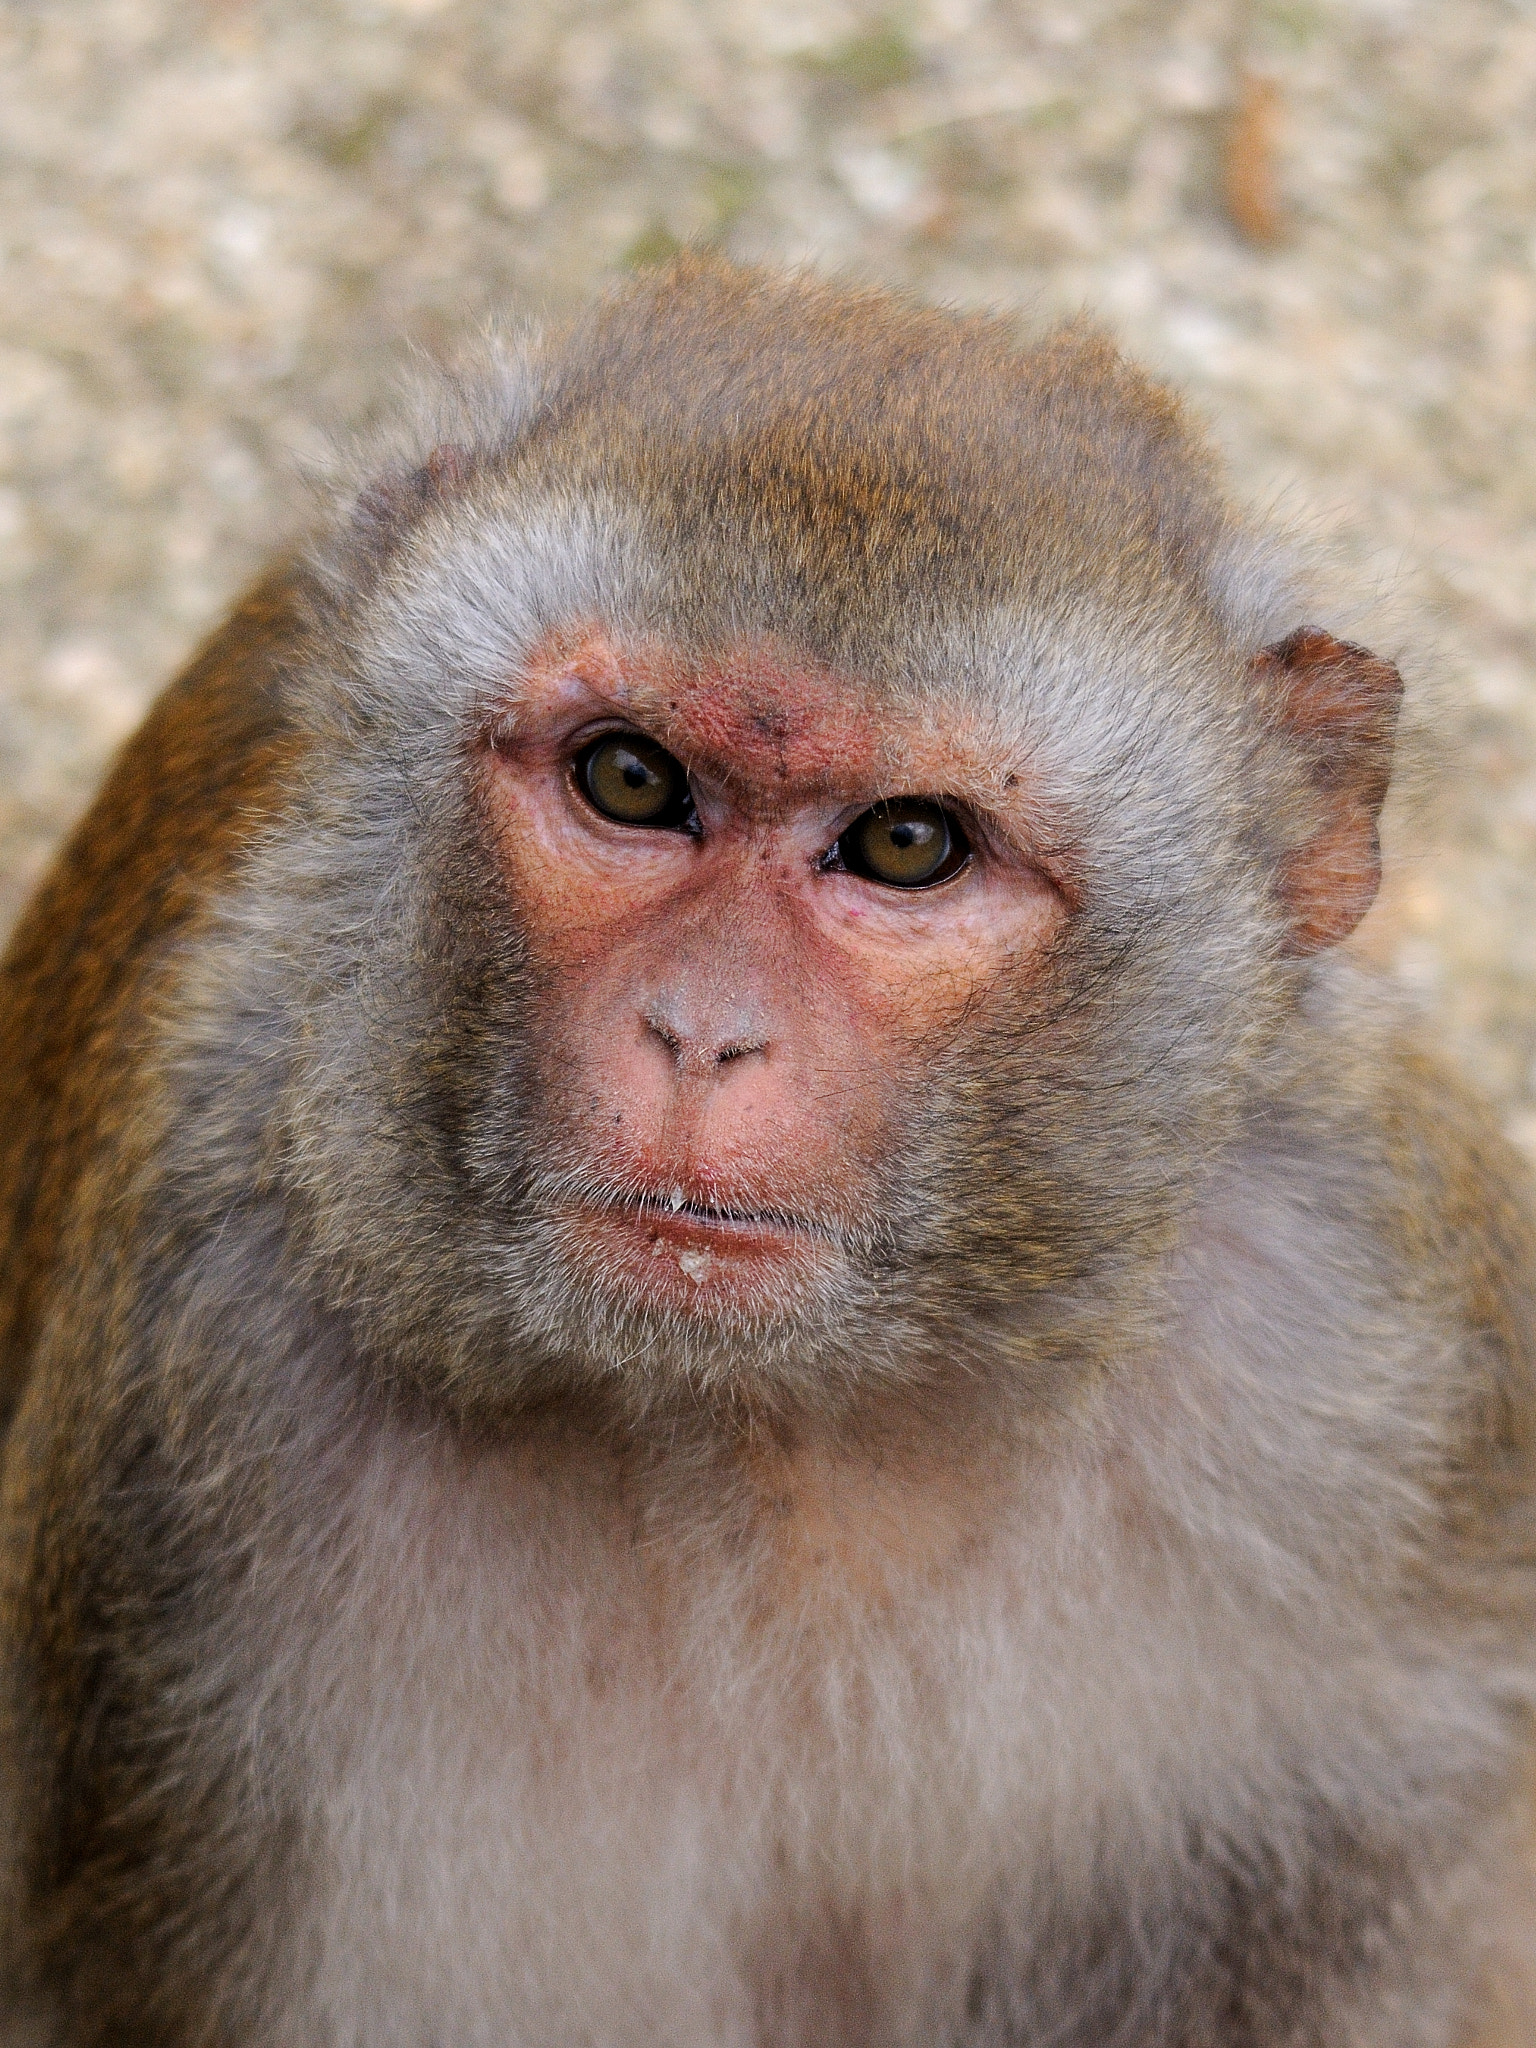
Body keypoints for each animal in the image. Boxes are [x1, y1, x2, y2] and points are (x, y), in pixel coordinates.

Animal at [0, 250, 1534, 2048]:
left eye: (908, 843)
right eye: (629, 777)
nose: (703, 1033)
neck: (786, 1436)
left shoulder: (1377, 1381)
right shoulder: (199, 1439)